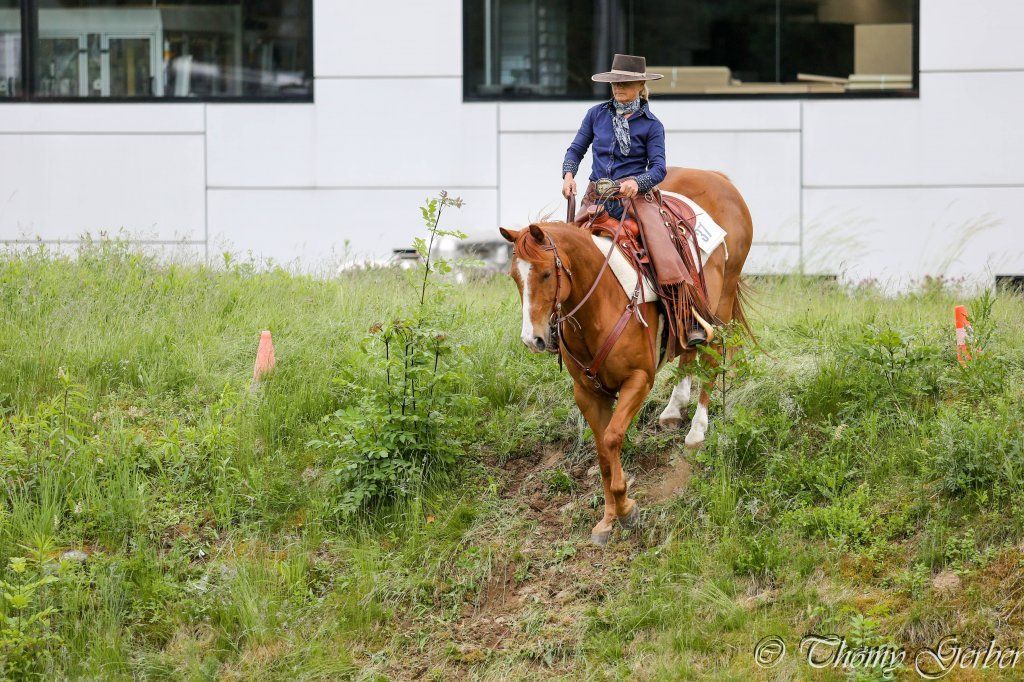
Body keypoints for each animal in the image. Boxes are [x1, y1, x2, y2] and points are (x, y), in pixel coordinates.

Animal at [499, 167, 754, 545]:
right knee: (687, 349)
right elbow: (603, 452)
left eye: (545, 273)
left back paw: (697, 431)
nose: (534, 340)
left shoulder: (638, 380)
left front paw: (626, 509)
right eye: (515, 277)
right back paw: (673, 410)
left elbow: (612, 438)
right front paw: (608, 518)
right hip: (692, 310)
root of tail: (718, 178)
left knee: (710, 357)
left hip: (721, 303)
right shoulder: (587, 392)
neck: (599, 303)